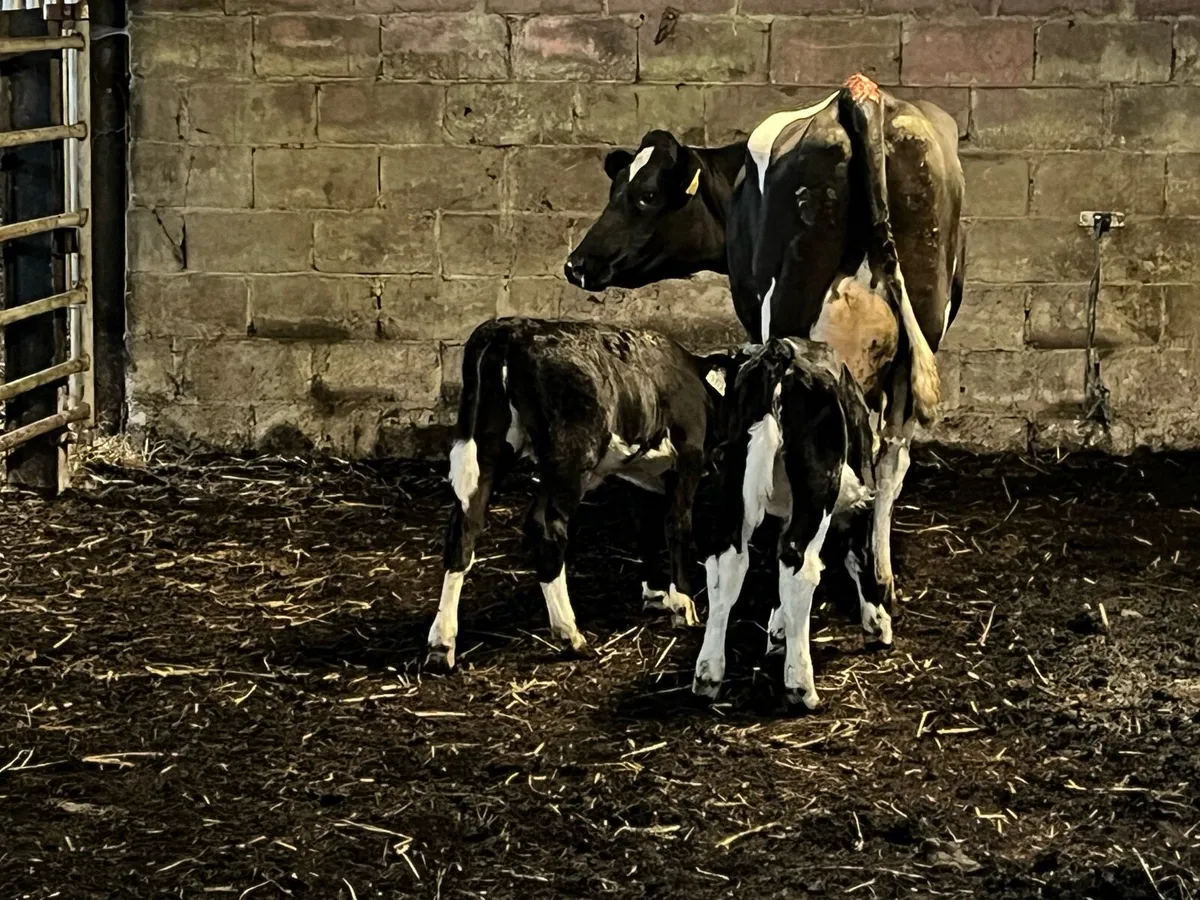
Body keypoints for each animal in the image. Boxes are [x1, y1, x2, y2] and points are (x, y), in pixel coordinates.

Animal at [425, 316, 731, 670]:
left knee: (464, 528)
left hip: (486, 447)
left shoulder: (642, 476)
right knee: (546, 527)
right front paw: (682, 603)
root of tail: (510, 329)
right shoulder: (688, 459)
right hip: (570, 460)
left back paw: (442, 644)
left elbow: (645, 530)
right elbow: (677, 525)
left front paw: (655, 593)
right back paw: (569, 633)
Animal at [567, 74, 964, 618]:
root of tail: (860, 96)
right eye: (616, 187)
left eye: (646, 195)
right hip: (919, 335)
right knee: (890, 459)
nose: (576, 263)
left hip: (791, 320)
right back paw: (878, 583)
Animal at [694, 337, 884, 708]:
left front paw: (779, 627)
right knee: (799, 564)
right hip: (819, 488)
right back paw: (801, 685)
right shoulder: (863, 490)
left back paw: (708, 674)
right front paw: (878, 624)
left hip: (733, 483)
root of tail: (777, 351)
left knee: (728, 562)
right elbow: (860, 554)